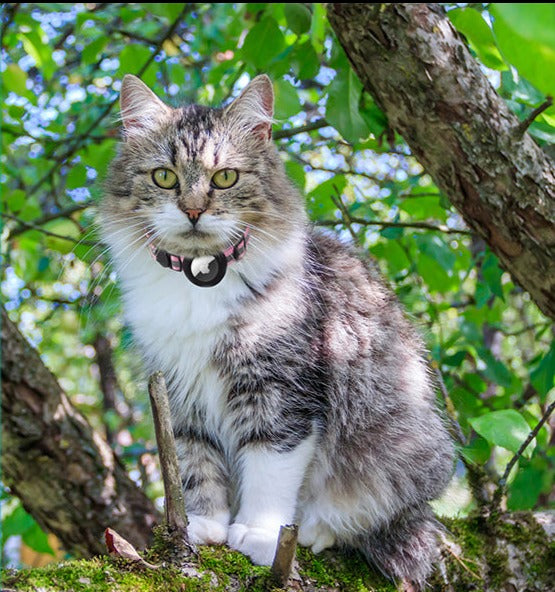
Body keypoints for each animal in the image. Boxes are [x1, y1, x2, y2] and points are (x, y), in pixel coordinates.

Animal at [100, 74, 456, 588]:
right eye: (164, 177)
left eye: (225, 178)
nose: (193, 210)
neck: (199, 277)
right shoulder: (179, 392)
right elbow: (195, 465)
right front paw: (204, 526)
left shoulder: (280, 390)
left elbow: (270, 469)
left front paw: (260, 534)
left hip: (404, 452)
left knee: (373, 514)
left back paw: (314, 528)